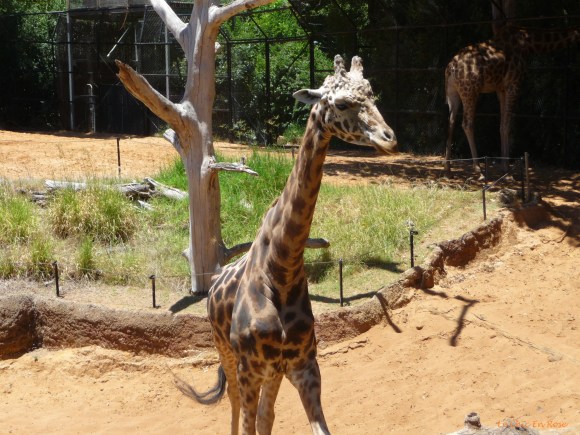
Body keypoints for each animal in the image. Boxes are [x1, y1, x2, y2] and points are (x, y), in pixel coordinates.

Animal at [176, 55, 397, 435]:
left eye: (371, 95)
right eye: (342, 103)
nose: (389, 138)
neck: (281, 269)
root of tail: (214, 280)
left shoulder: (304, 365)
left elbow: (309, 425)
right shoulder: (251, 366)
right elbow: (246, 422)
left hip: (273, 370)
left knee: (266, 414)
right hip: (226, 351)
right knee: (234, 404)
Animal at [444, 23, 580, 177]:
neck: (530, 43)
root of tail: (450, 69)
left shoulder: (501, 89)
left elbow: (502, 125)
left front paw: (505, 167)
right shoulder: (513, 85)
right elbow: (507, 125)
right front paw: (508, 171)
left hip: (453, 93)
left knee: (451, 122)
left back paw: (447, 169)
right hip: (470, 91)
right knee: (467, 124)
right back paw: (478, 170)